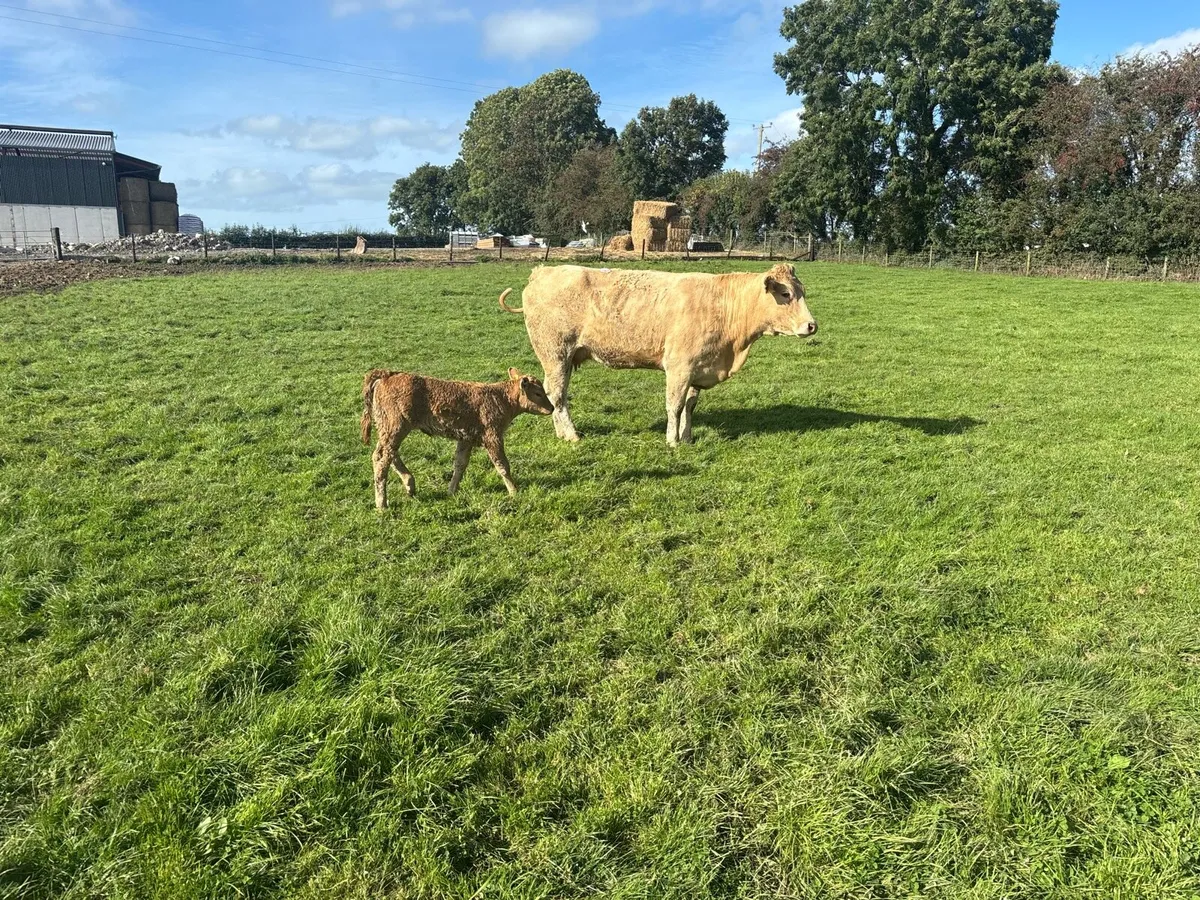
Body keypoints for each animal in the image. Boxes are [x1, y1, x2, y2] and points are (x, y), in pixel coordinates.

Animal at [360, 368, 554, 509]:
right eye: (538, 393)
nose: (551, 408)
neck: (500, 398)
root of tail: (388, 374)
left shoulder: (465, 438)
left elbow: (460, 464)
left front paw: (451, 491)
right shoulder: (493, 437)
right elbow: (502, 465)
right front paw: (514, 490)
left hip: (388, 428)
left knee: (387, 454)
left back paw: (409, 484)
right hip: (395, 427)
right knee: (381, 458)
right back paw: (382, 503)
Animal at [498, 263, 817, 446]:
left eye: (801, 291)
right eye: (786, 294)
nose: (812, 325)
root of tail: (541, 271)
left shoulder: (697, 369)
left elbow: (690, 406)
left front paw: (687, 437)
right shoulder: (679, 367)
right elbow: (674, 406)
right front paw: (672, 441)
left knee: (555, 395)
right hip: (555, 354)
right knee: (557, 394)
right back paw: (571, 434)